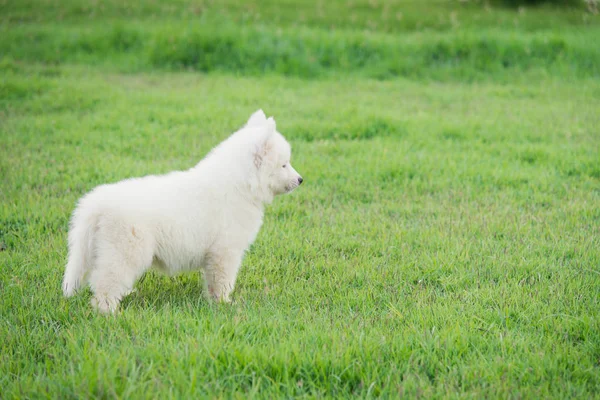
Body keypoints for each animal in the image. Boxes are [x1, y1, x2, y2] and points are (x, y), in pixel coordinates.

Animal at [63, 109, 302, 312]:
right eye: (284, 164)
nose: (301, 180)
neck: (240, 184)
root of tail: (96, 204)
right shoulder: (225, 250)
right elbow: (222, 280)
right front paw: (224, 303)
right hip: (124, 251)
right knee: (105, 282)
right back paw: (109, 311)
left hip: (99, 250)